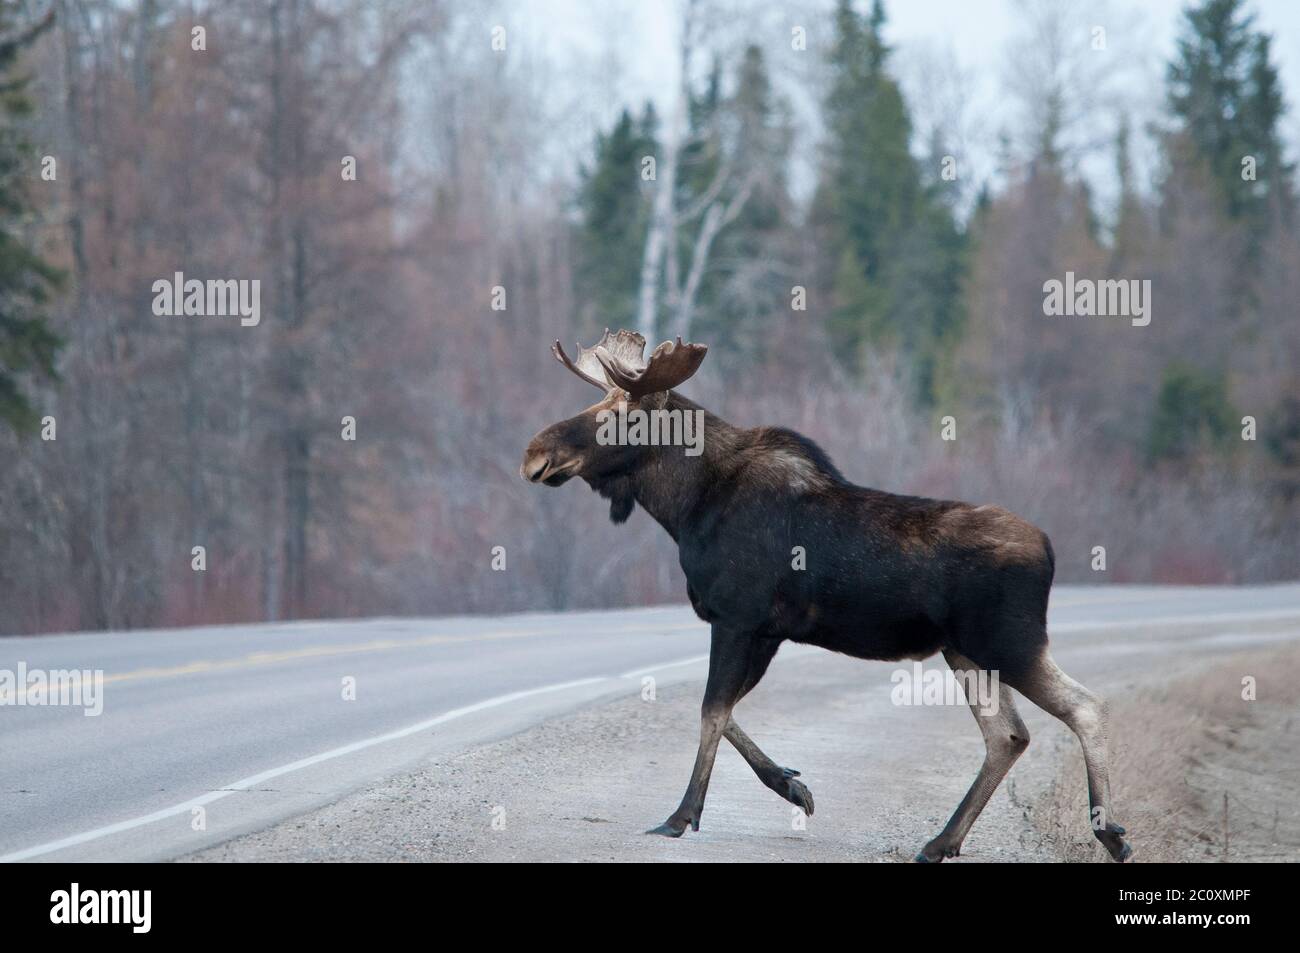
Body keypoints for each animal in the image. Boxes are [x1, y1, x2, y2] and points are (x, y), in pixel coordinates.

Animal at [522, 328, 1133, 863]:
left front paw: (681, 815)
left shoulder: (737, 618)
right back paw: (940, 842)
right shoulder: (764, 630)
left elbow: (711, 709)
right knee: (1007, 735)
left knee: (1085, 706)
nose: (534, 453)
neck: (685, 508)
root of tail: (1049, 549)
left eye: (617, 415)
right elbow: (724, 710)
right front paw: (793, 786)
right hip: (964, 650)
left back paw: (1110, 833)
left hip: (1009, 641)